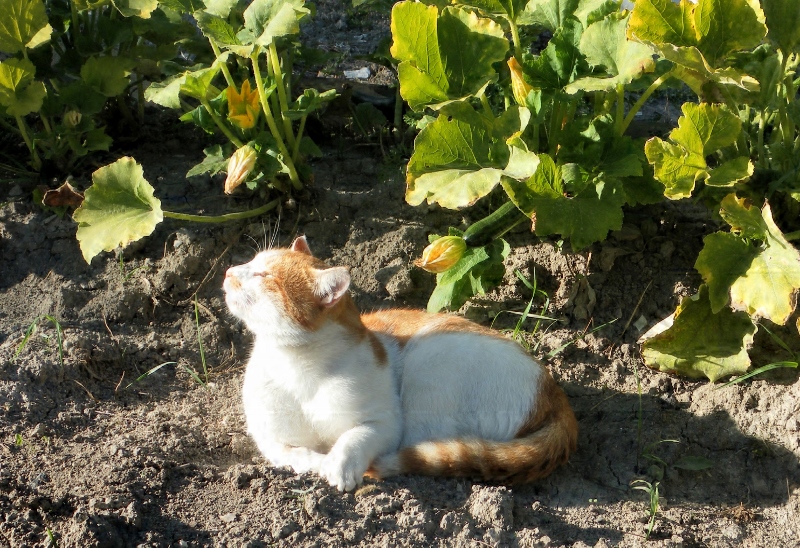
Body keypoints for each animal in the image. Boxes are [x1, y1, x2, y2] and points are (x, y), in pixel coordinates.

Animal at [222, 235, 580, 492]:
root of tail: (553, 390)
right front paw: (317, 462)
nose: (228, 272)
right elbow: (293, 454)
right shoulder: (269, 439)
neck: (296, 366)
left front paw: (339, 464)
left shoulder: (386, 424)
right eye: (251, 261)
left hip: (428, 364)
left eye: (263, 274)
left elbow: (353, 438)